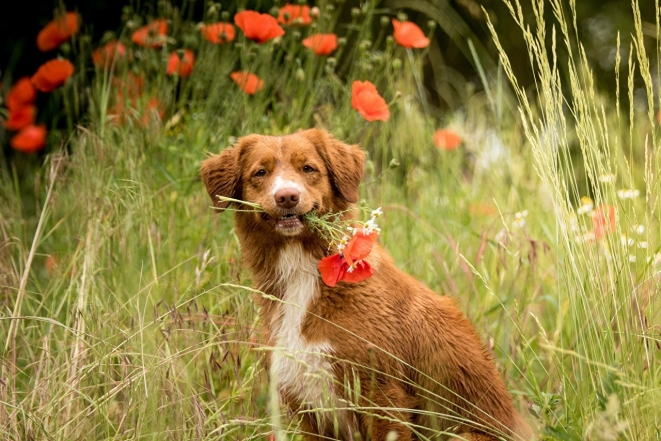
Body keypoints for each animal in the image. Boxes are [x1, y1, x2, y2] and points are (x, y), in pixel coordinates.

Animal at [201, 129, 532, 438]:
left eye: (308, 168)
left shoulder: (382, 396)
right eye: (260, 172)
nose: (287, 196)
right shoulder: (308, 405)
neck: (303, 274)